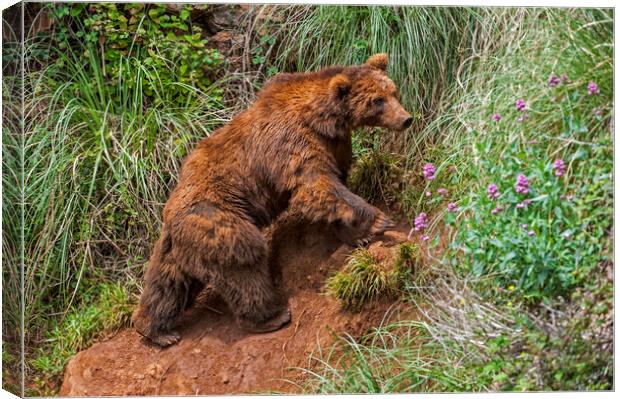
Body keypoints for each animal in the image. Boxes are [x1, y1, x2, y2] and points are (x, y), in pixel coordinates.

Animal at [132, 53, 412, 346]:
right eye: (377, 100)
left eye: (393, 91)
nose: (406, 118)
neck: (322, 119)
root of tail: (169, 214)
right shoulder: (291, 144)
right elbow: (318, 185)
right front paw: (379, 220)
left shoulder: (334, 144)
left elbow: (335, 184)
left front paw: (356, 234)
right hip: (217, 219)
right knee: (245, 262)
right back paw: (271, 317)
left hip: (179, 244)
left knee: (167, 281)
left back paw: (155, 329)